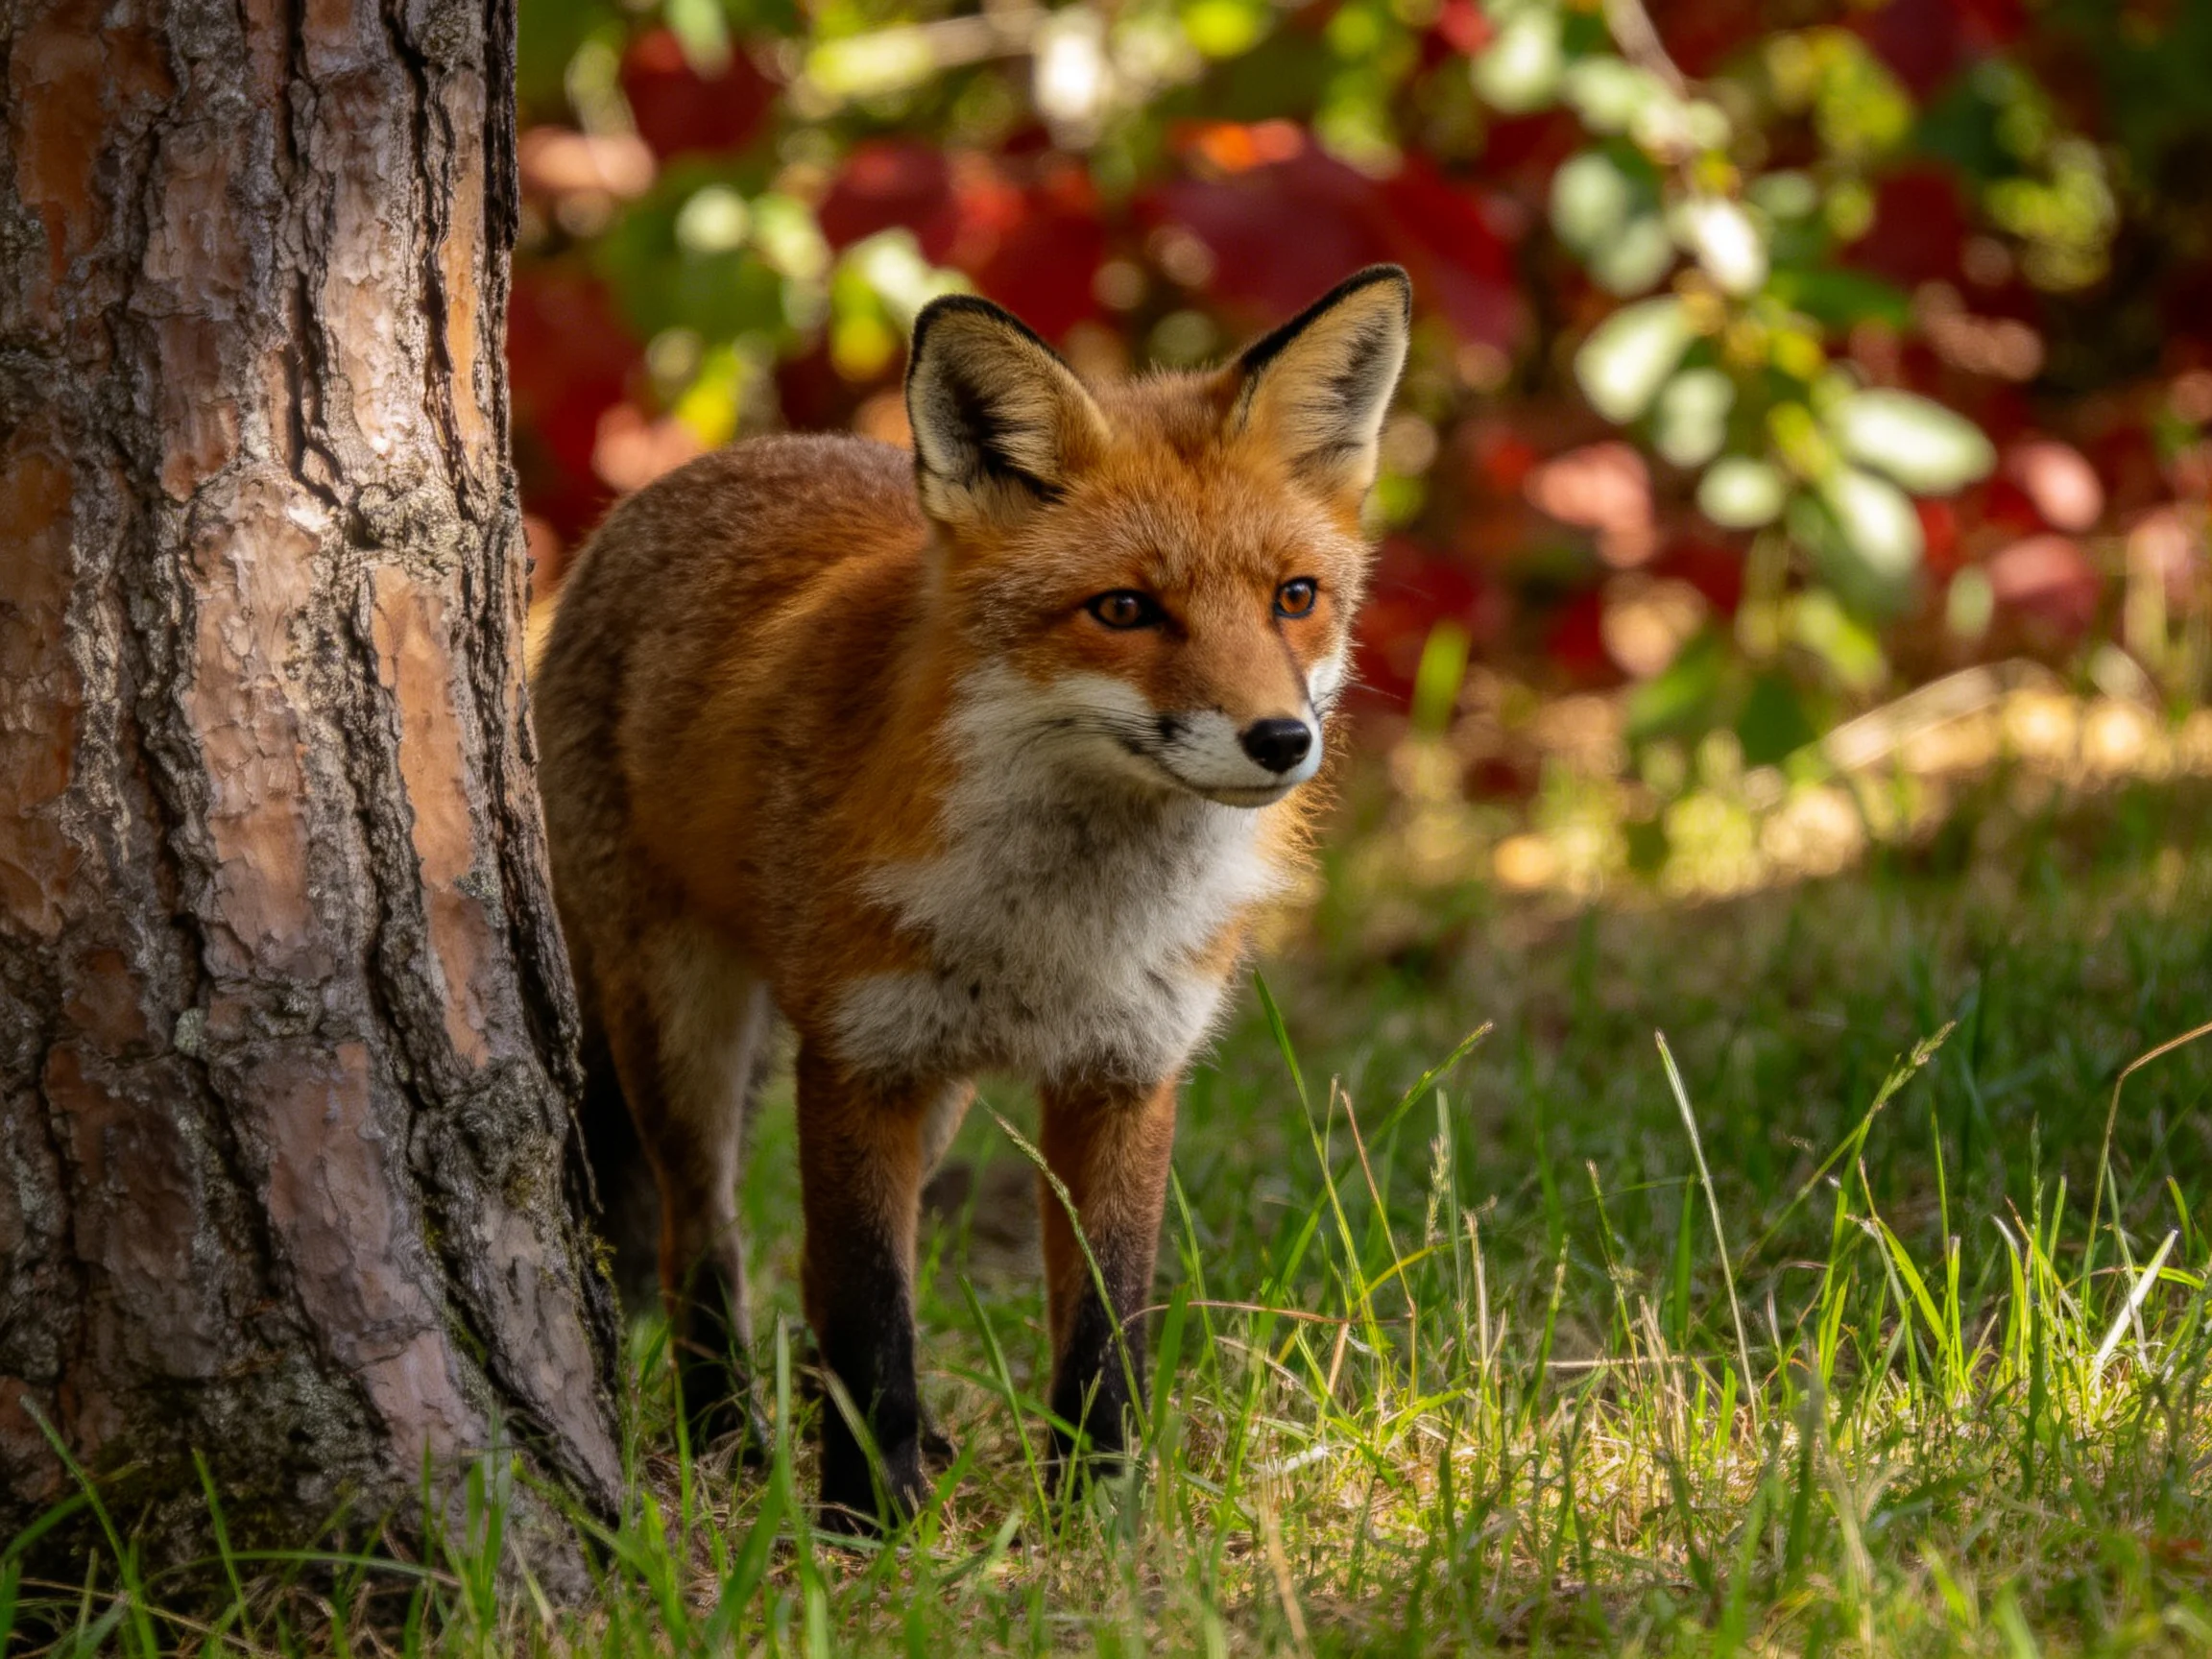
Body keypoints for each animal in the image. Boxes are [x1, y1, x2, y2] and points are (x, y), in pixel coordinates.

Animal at [531, 263, 1411, 1531]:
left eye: (1296, 597)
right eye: (1124, 609)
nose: (1282, 740)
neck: (1062, 931)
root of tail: (709, 469)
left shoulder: (1125, 1073)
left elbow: (1104, 1323)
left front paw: (1099, 1512)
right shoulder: (860, 1059)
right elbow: (870, 1313)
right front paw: (864, 1520)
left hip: (931, 1094)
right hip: (682, 1020)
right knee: (707, 1237)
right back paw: (729, 1437)